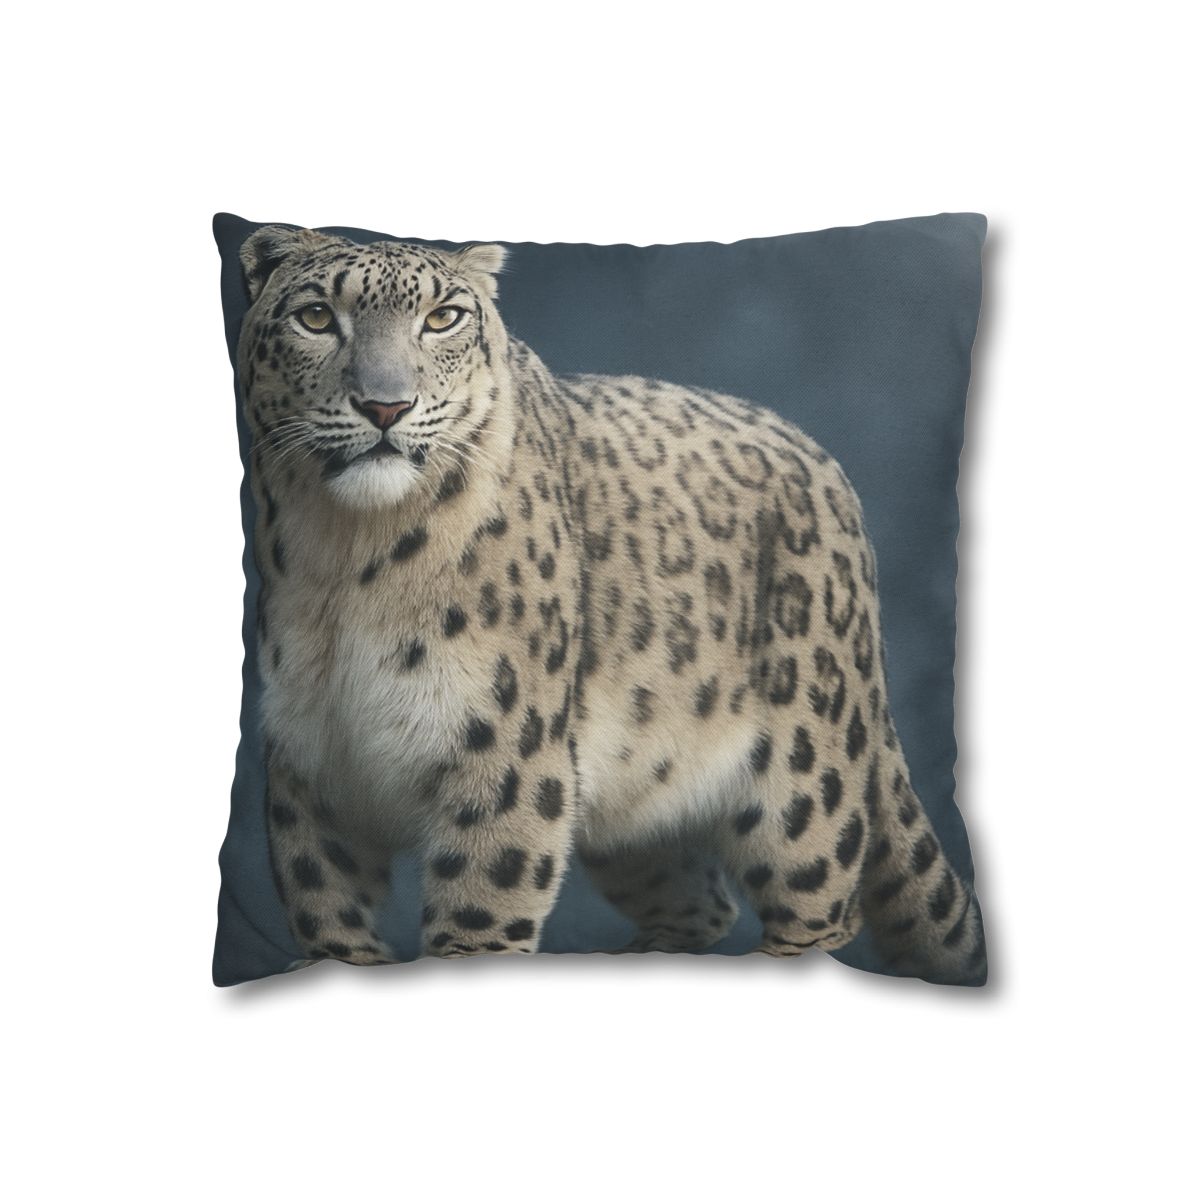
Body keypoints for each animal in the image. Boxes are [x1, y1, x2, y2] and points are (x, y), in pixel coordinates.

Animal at [235, 225, 986, 985]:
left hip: (804, 786)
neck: (345, 561)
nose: (386, 406)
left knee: (818, 910)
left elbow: (480, 916)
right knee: (699, 899)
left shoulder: (503, 754)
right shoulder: (310, 765)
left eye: (443, 317)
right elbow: (328, 918)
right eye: (316, 317)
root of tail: (830, 473)